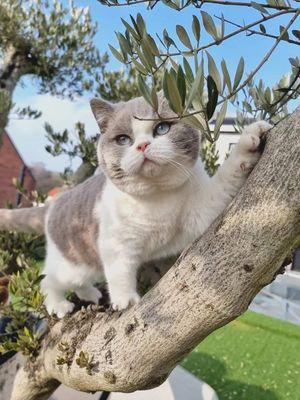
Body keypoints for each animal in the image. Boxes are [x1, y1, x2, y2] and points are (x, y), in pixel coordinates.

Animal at [0, 94, 272, 318]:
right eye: (123, 139)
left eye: (162, 128)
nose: (142, 145)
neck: (156, 197)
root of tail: (54, 204)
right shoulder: (116, 243)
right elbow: (120, 271)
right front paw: (125, 300)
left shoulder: (203, 209)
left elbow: (228, 177)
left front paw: (251, 140)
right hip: (72, 263)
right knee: (49, 280)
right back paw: (59, 305)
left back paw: (90, 294)